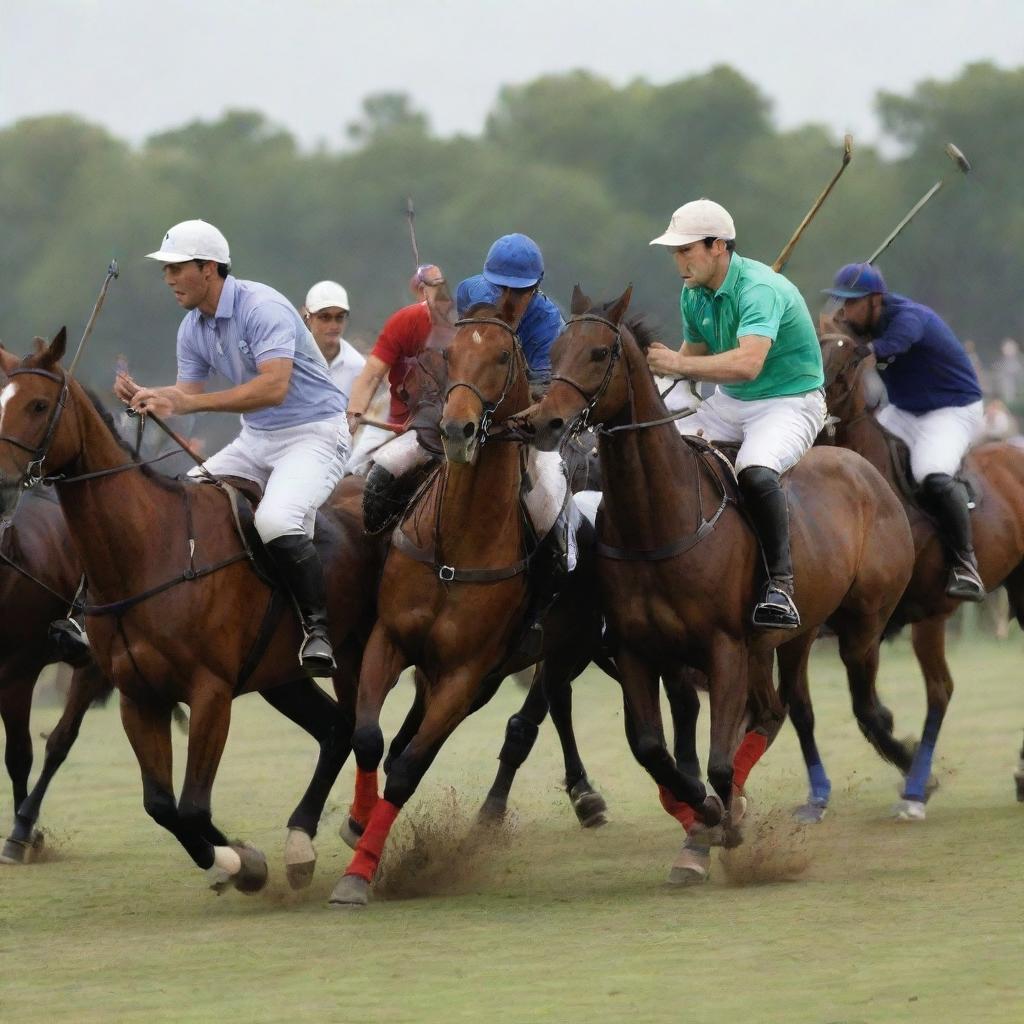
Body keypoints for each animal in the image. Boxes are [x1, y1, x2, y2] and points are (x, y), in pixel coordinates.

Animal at [520, 288, 913, 880]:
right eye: (555, 349)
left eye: (597, 353)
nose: (545, 422)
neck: (659, 522)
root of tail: (861, 465)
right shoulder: (639, 650)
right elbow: (653, 749)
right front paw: (704, 818)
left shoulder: (722, 647)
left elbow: (718, 761)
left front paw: (721, 821)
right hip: (785, 639)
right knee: (775, 711)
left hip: (861, 622)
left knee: (864, 706)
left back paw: (913, 768)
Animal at [819, 333, 1024, 815]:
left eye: (849, 359)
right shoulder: (863, 625)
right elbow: (863, 707)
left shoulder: (926, 616)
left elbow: (936, 692)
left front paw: (916, 785)